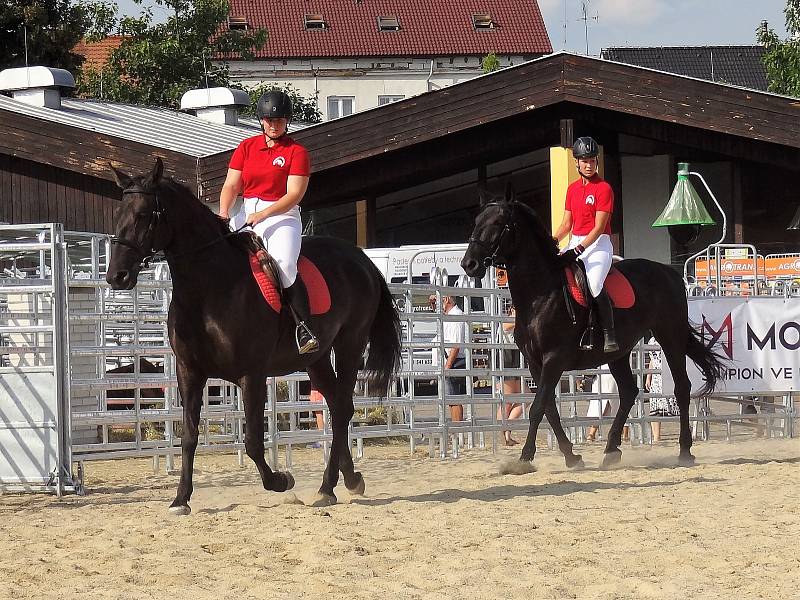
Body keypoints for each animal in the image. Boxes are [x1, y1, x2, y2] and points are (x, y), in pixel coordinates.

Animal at [108, 159, 400, 516]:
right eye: (118, 214)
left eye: (143, 214)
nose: (116, 276)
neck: (210, 288)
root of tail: (362, 259)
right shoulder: (189, 373)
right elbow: (189, 436)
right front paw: (180, 499)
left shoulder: (252, 375)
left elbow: (253, 442)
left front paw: (281, 480)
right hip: (315, 359)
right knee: (337, 406)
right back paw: (346, 480)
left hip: (349, 345)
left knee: (343, 407)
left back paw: (328, 485)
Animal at [456, 188, 724, 468]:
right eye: (476, 221)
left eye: (498, 222)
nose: (469, 264)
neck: (540, 294)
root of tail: (670, 273)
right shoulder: (534, 362)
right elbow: (549, 408)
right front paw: (571, 456)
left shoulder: (554, 359)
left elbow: (538, 407)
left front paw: (525, 458)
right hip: (618, 353)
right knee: (629, 391)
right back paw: (611, 450)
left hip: (670, 337)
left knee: (681, 388)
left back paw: (684, 451)